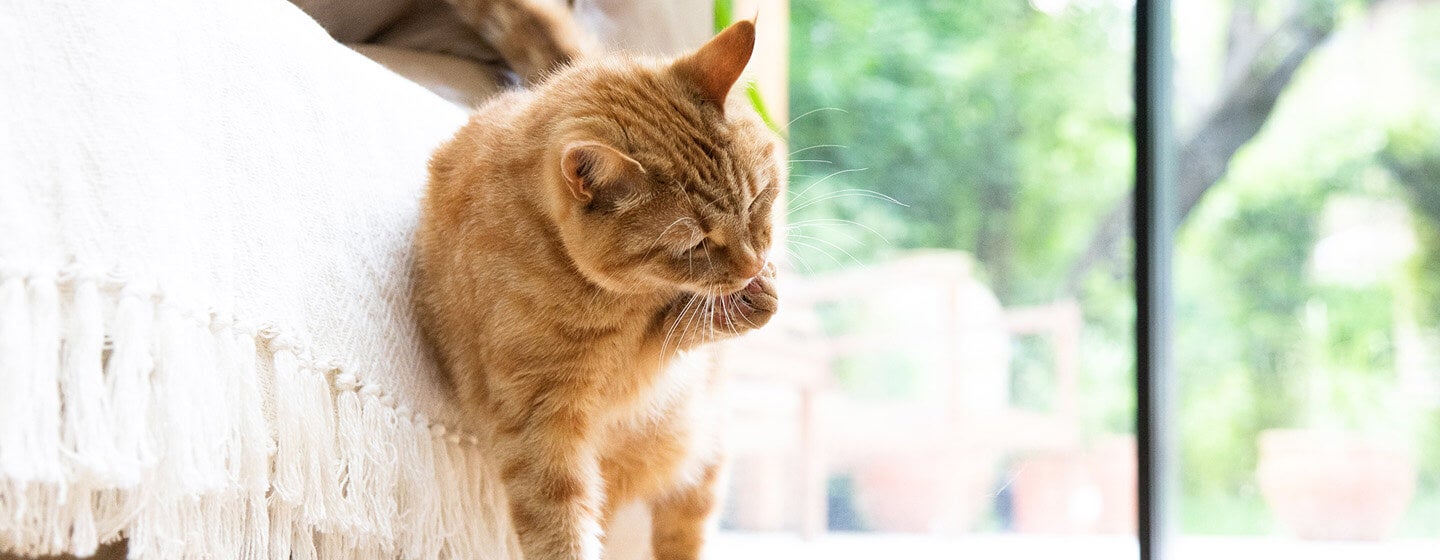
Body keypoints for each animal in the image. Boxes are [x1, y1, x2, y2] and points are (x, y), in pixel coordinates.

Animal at [411, 20, 783, 558]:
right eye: (694, 243)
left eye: (756, 200)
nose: (753, 263)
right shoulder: (539, 420)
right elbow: (559, 523)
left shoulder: (654, 352)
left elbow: (682, 325)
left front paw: (754, 297)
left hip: (703, 456)